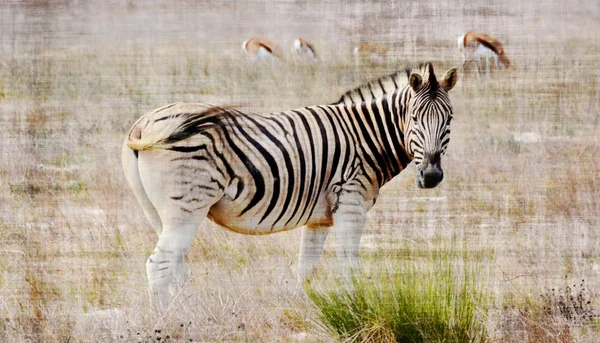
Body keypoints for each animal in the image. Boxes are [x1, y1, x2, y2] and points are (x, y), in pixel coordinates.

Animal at [123, 62, 460, 314]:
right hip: (187, 207)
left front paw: (308, 312)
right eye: (414, 118)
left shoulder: (320, 217)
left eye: (449, 119)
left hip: (159, 212)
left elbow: (305, 270)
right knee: (158, 266)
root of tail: (143, 123)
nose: (431, 177)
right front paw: (356, 311)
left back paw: (189, 313)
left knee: (174, 265)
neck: (366, 137)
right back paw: (168, 322)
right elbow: (348, 266)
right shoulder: (351, 204)